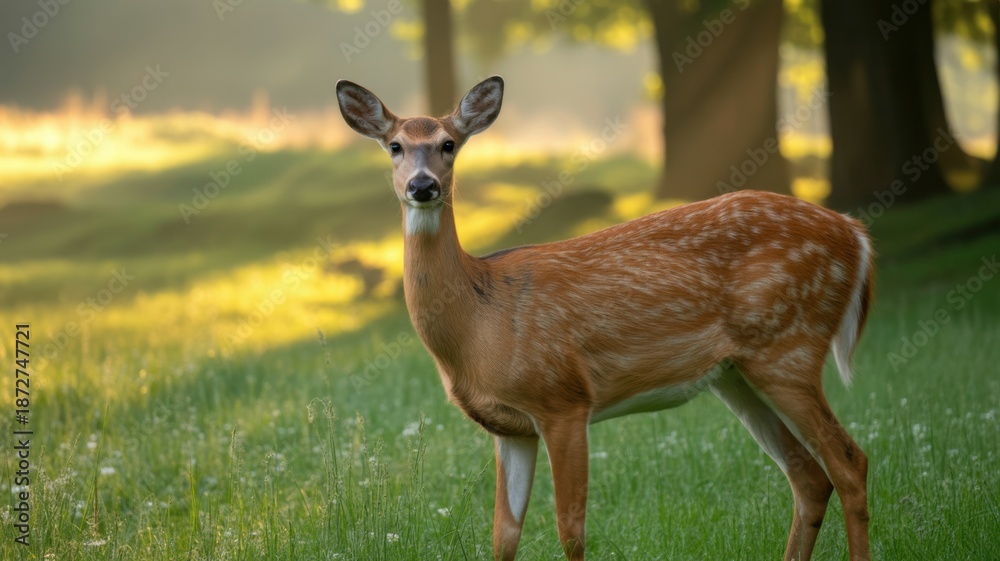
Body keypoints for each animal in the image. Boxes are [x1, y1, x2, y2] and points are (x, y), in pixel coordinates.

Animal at [336, 76, 874, 561]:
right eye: (395, 146)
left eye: (448, 144)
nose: (422, 186)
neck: (479, 322)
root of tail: (856, 234)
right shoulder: (509, 428)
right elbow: (503, 537)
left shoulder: (563, 398)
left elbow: (570, 531)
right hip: (736, 374)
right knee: (808, 475)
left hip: (789, 347)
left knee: (850, 462)